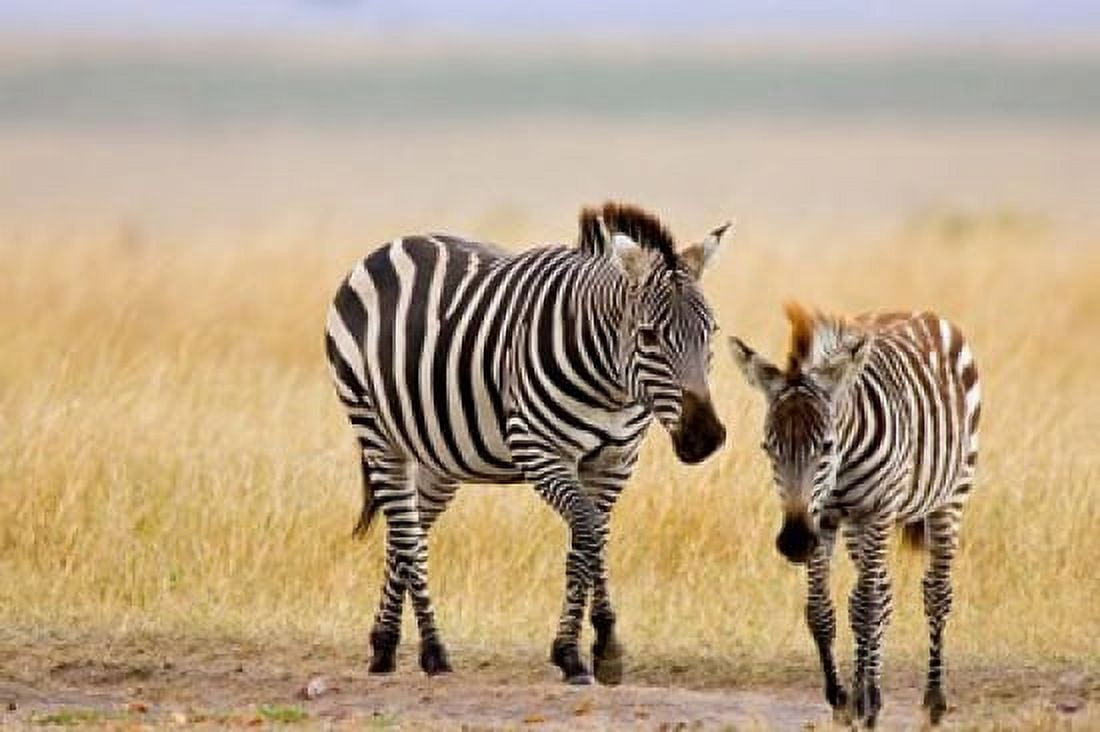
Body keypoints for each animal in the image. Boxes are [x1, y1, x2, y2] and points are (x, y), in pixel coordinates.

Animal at [325, 202, 730, 685]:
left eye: (712, 331)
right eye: (648, 336)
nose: (705, 437)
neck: (612, 387)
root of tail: (392, 245)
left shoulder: (616, 460)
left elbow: (594, 540)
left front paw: (599, 647)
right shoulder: (538, 449)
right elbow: (587, 533)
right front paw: (576, 652)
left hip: (438, 455)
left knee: (409, 533)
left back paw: (385, 645)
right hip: (375, 430)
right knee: (406, 534)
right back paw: (433, 652)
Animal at [728, 303, 980, 727]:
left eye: (826, 445)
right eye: (767, 447)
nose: (794, 541)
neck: (841, 466)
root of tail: (918, 312)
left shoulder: (876, 510)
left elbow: (866, 606)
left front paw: (865, 699)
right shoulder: (824, 517)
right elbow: (823, 610)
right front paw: (843, 697)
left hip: (950, 494)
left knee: (934, 592)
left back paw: (933, 700)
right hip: (855, 527)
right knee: (881, 590)